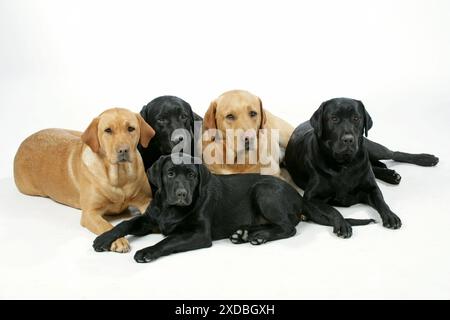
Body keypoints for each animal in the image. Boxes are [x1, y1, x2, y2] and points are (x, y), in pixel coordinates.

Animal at [92, 155, 372, 262]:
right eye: (170, 174)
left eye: (192, 175)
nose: (182, 195)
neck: (171, 209)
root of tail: (299, 196)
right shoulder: (151, 218)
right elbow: (126, 223)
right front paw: (103, 239)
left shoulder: (199, 234)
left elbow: (168, 241)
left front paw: (147, 251)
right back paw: (244, 233)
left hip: (263, 191)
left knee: (288, 227)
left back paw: (257, 237)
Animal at [286, 97, 438, 238]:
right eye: (334, 119)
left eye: (356, 118)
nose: (348, 139)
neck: (344, 165)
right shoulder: (310, 199)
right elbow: (332, 210)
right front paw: (342, 224)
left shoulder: (371, 188)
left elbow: (382, 201)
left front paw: (390, 216)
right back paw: (391, 175)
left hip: (372, 147)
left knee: (394, 154)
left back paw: (427, 159)